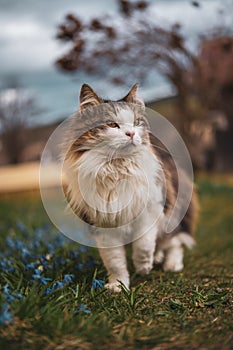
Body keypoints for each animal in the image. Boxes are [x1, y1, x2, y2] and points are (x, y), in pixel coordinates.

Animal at [62, 83, 198, 292]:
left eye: (135, 123)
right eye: (112, 125)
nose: (131, 134)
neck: (116, 170)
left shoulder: (150, 212)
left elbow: (143, 246)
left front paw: (143, 267)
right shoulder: (104, 226)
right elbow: (115, 262)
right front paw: (118, 286)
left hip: (174, 211)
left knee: (175, 241)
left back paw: (171, 264)